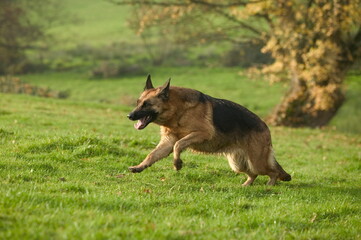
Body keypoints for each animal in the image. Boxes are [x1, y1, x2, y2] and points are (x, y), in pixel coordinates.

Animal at [126, 75, 290, 186]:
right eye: (138, 102)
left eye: (147, 104)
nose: (129, 116)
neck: (178, 111)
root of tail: (265, 126)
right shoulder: (167, 143)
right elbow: (152, 155)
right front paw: (139, 167)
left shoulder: (202, 134)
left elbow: (178, 145)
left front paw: (177, 163)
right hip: (238, 164)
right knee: (253, 174)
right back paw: (246, 185)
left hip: (257, 162)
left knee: (273, 172)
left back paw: (270, 186)